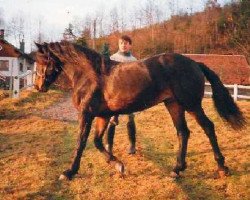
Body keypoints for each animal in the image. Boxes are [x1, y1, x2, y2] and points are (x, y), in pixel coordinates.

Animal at [34, 41, 245, 180]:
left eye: (43, 61)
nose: (38, 86)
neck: (90, 75)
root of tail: (195, 64)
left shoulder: (86, 114)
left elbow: (82, 142)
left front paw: (69, 172)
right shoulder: (103, 116)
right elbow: (97, 142)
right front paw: (118, 165)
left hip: (191, 104)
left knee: (208, 127)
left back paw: (222, 167)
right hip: (174, 105)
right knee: (183, 132)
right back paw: (177, 169)